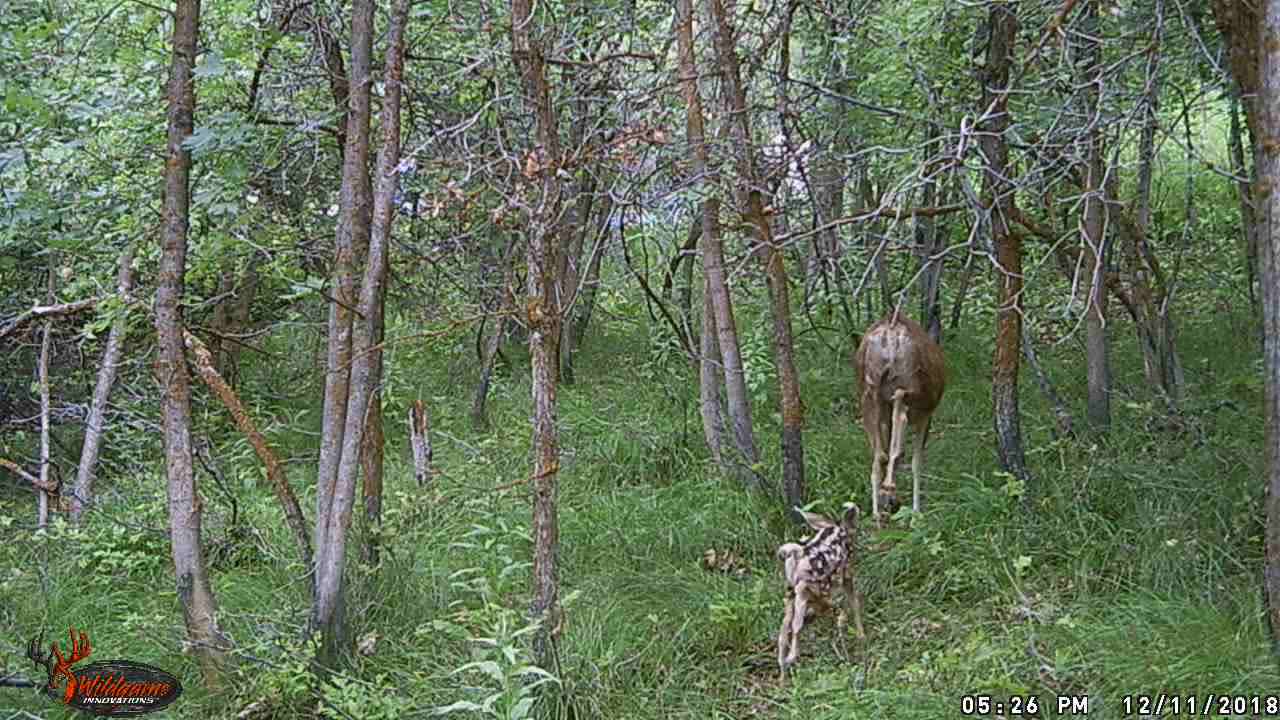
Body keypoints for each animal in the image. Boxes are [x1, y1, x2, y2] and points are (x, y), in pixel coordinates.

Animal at [855, 311, 947, 517]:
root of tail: (890, 333)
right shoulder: (926, 413)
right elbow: (917, 461)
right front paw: (916, 510)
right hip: (912, 386)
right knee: (900, 411)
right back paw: (889, 489)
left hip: (868, 390)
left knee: (880, 453)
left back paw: (877, 508)